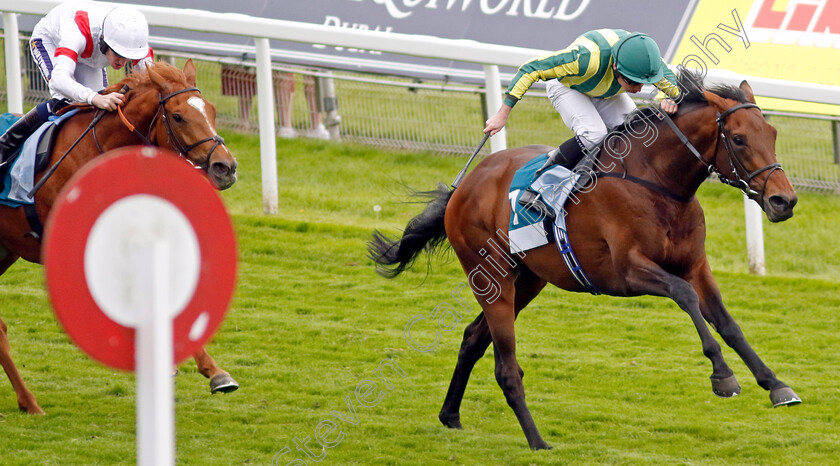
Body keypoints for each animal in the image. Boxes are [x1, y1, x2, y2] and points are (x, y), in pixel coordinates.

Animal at [2, 59, 240, 416]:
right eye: (178, 116)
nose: (226, 167)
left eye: (210, 110)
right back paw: (31, 403)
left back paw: (27, 401)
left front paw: (214, 372)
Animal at [372, 71, 800, 450]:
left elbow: (728, 323)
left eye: (773, 134)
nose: (784, 201)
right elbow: (685, 296)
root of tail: (464, 186)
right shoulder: (627, 273)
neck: (658, 184)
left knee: (473, 339)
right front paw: (723, 376)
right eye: (739, 139)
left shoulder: (696, 266)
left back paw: (451, 415)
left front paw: (776, 385)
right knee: (505, 365)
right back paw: (537, 441)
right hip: (492, 279)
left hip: (528, 280)